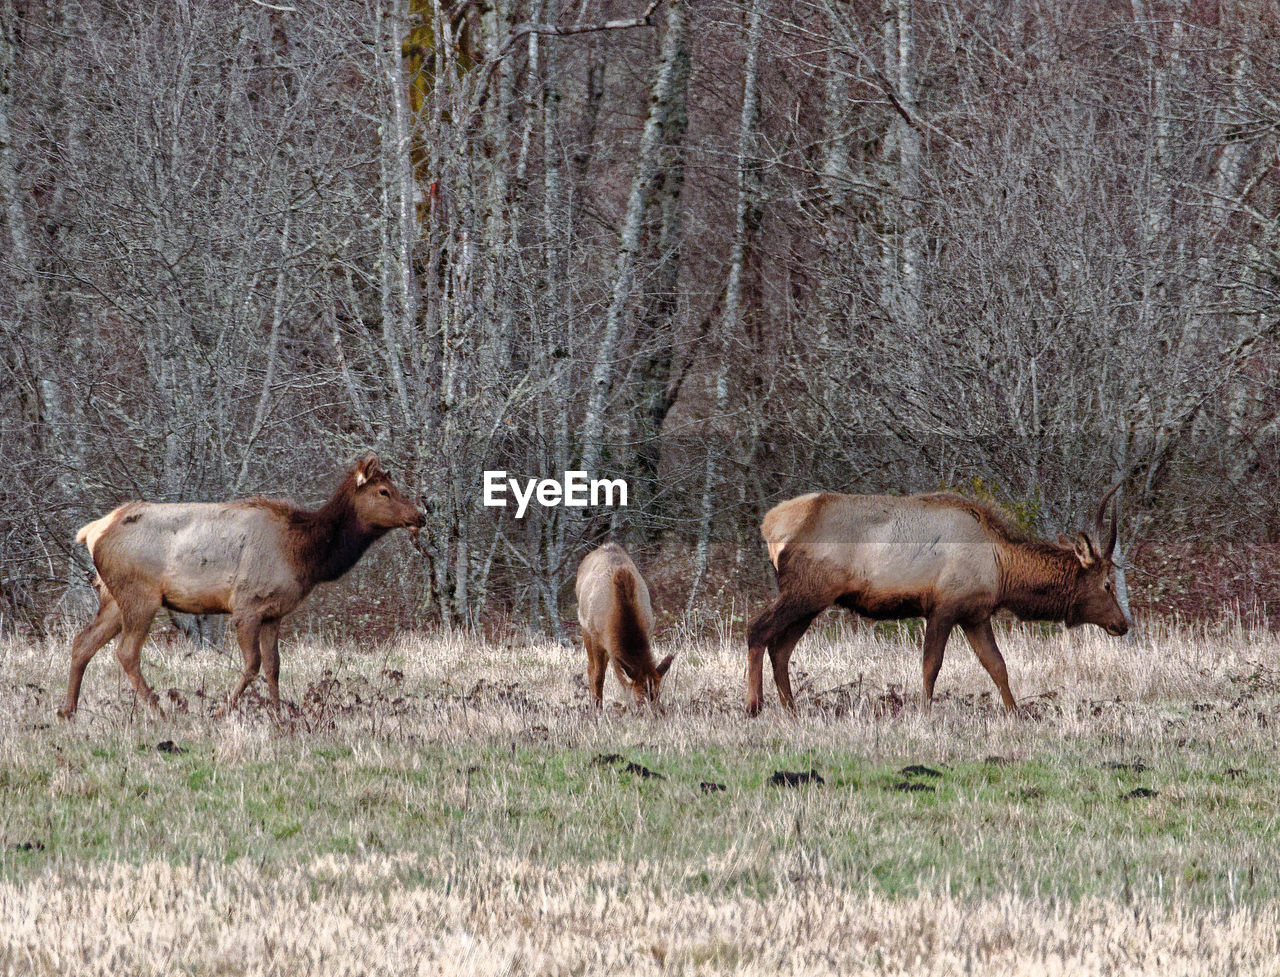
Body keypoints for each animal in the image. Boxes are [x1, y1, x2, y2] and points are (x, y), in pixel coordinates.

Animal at [58, 455, 424, 722]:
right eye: (384, 491)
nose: (420, 514)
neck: (304, 554)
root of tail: (93, 531)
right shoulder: (247, 606)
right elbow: (252, 664)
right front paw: (221, 710)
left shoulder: (274, 612)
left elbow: (274, 666)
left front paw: (279, 716)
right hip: (140, 595)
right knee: (126, 652)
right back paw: (160, 710)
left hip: (113, 597)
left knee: (83, 642)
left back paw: (68, 711)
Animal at [576, 542, 675, 711]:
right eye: (639, 700)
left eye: (657, 696)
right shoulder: (596, 636)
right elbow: (598, 676)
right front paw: (598, 708)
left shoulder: (648, 628)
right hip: (585, 627)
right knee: (591, 668)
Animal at [742, 486, 1131, 717]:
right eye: (1107, 584)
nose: (1122, 624)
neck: (1001, 568)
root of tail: (770, 526)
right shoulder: (944, 606)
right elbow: (931, 665)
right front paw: (924, 713)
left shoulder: (975, 614)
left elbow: (997, 665)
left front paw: (1015, 713)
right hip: (805, 591)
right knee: (757, 630)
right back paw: (754, 706)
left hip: (812, 601)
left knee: (781, 648)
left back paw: (791, 709)